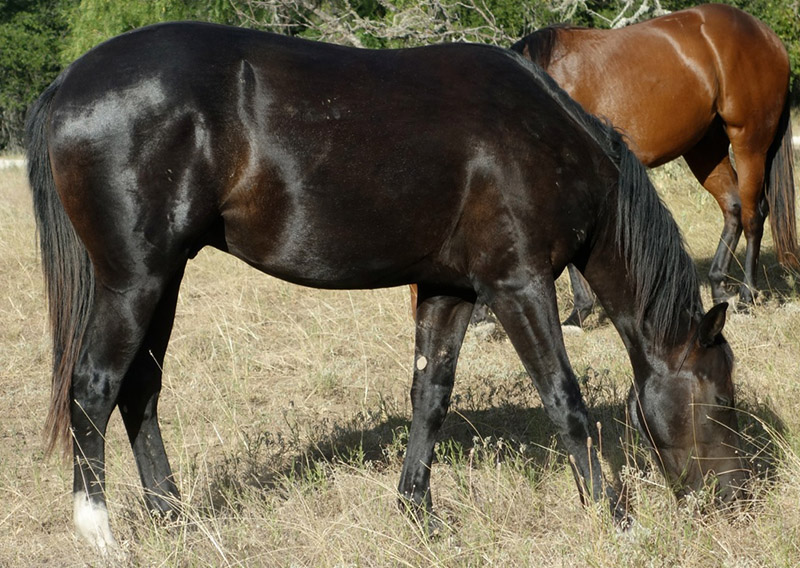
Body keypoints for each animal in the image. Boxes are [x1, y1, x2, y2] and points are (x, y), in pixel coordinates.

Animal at [28, 22, 748, 552]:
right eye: (721, 398)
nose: (736, 499)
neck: (545, 138)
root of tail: (68, 84)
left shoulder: (448, 289)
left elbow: (430, 397)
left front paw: (417, 512)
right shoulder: (518, 284)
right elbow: (564, 400)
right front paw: (617, 519)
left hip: (165, 276)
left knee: (139, 392)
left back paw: (175, 518)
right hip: (134, 280)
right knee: (93, 387)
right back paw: (101, 535)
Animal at [512, 3, 792, 324]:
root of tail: (768, 37)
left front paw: (579, 312)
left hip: (749, 141)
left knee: (753, 216)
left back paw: (747, 294)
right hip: (705, 148)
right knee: (733, 208)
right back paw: (719, 287)